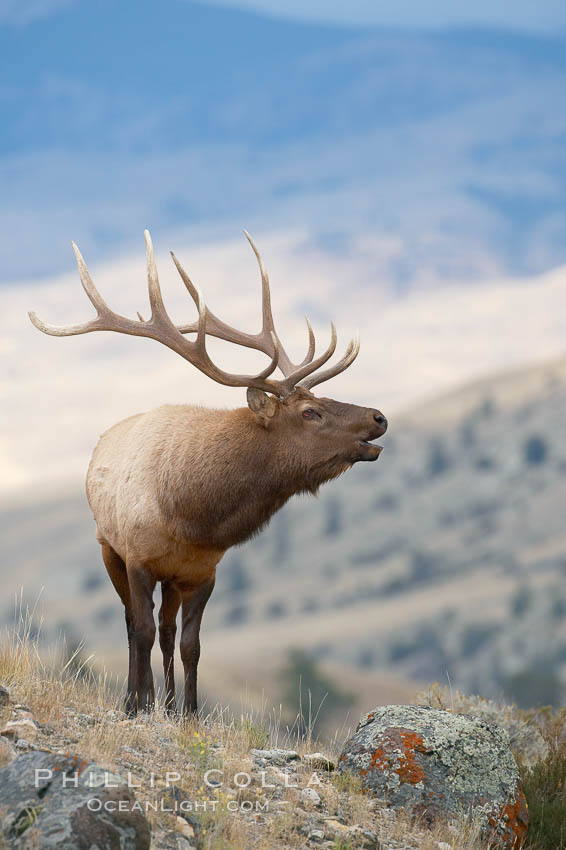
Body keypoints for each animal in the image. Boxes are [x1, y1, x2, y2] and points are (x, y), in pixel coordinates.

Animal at [28, 229, 388, 712]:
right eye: (310, 412)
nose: (379, 417)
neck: (191, 514)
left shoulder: (203, 572)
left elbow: (190, 645)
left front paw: (189, 712)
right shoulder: (138, 558)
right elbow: (140, 629)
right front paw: (140, 704)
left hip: (171, 579)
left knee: (166, 630)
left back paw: (167, 701)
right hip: (108, 548)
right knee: (133, 624)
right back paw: (135, 697)